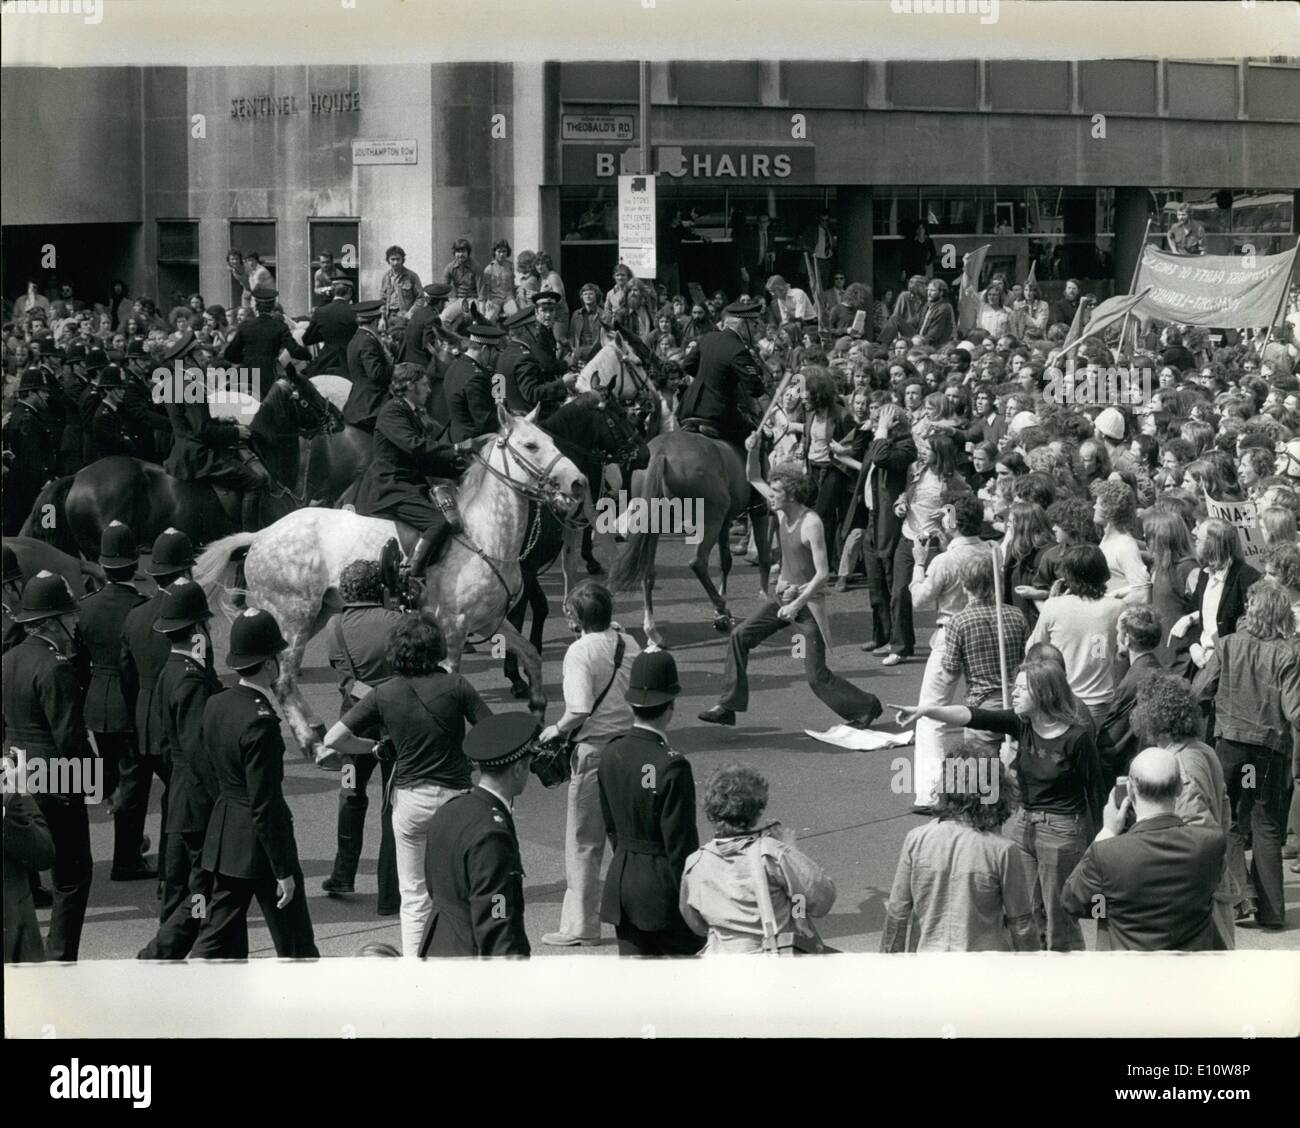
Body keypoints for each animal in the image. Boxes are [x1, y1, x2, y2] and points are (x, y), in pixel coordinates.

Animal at [192, 405, 585, 758]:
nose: (578, 483)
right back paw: (311, 743)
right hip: (293, 619)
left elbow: (531, 655)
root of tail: (261, 535)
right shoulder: (454, 627)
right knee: (283, 681)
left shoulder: (490, 621)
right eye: (531, 445)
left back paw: (317, 727)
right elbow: (452, 679)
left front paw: (538, 711)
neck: (483, 537)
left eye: (551, 440)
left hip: (315, 615)